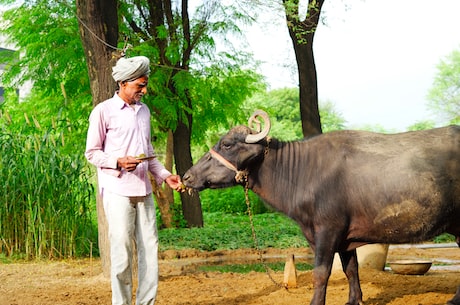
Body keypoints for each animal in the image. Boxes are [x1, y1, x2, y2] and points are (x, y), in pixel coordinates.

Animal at [183, 109, 460, 304]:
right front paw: (354, 300)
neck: (303, 171)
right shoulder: (347, 237)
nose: (186, 176)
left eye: (227, 144)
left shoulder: (328, 230)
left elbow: (321, 272)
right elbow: (351, 269)